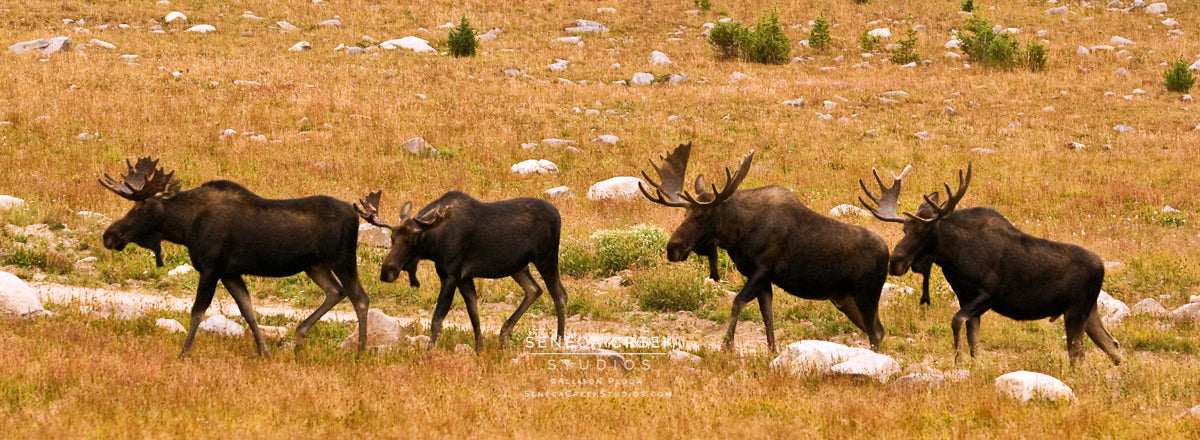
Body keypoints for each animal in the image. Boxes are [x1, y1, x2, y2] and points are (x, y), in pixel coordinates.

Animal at [99, 157, 370, 358]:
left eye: (140, 208)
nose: (109, 235)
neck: (185, 228)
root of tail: (355, 215)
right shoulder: (230, 272)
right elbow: (247, 309)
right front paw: (264, 352)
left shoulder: (211, 267)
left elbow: (198, 311)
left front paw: (184, 353)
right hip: (315, 265)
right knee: (335, 291)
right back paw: (301, 334)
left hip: (342, 259)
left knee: (360, 297)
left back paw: (361, 350)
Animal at [355, 190, 568, 351]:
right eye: (392, 238)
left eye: (412, 240)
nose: (387, 271)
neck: (433, 245)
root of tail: (559, 215)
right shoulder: (464, 278)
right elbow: (474, 315)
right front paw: (479, 349)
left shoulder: (450, 275)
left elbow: (437, 318)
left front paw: (428, 354)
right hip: (518, 266)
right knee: (534, 289)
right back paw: (504, 335)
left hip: (545, 257)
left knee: (559, 295)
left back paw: (559, 342)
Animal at [640, 142, 890, 353]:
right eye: (684, 214)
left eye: (702, 215)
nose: (672, 247)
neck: (737, 234)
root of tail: (887, 254)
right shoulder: (763, 279)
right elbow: (767, 315)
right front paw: (772, 351)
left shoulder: (762, 270)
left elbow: (737, 302)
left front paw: (726, 347)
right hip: (846, 299)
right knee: (876, 331)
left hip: (866, 293)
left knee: (876, 331)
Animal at [859, 164, 1122, 366]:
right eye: (904, 229)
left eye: (924, 230)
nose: (895, 262)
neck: (953, 256)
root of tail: (1102, 268)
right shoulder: (966, 298)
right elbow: (973, 340)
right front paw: (973, 364)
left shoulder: (988, 295)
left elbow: (956, 322)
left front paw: (958, 360)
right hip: (1088, 311)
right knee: (1112, 345)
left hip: (1076, 311)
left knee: (1078, 355)